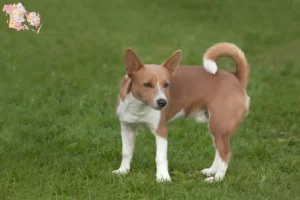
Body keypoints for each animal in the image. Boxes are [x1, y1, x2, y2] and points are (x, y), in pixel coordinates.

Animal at [112, 42, 251, 183]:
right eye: (147, 84)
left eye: (166, 85)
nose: (163, 102)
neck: (139, 108)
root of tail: (236, 77)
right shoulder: (127, 128)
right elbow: (126, 152)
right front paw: (123, 171)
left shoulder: (160, 131)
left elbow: (160, 157)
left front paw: (163, 177)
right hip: (216, 129)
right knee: (219, 151)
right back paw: (211, 171)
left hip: (219, 126)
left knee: (226, 153)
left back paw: (217, 178)